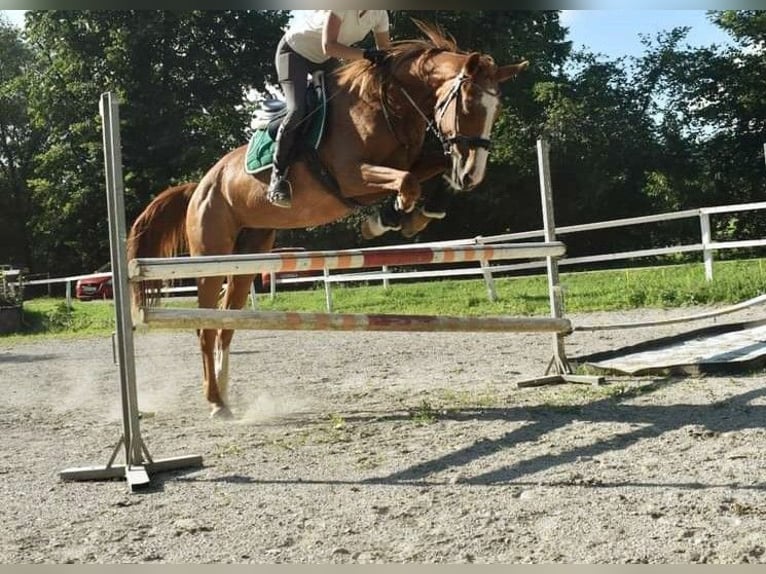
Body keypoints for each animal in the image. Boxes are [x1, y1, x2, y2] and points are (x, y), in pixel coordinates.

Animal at [129, 22, 532, 418]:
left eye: (496, 109)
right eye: (467, 103)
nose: (472, 174)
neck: (388, 104)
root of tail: (201, 184)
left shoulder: (410, 161)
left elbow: (429, 171)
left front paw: (416, 214)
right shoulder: (353, 177)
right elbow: (407, 182)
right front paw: (387, 217)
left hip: (246, 258)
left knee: (226, 325)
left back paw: (224, 397)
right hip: (210, 256)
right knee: (206, 328)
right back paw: (214, 402)